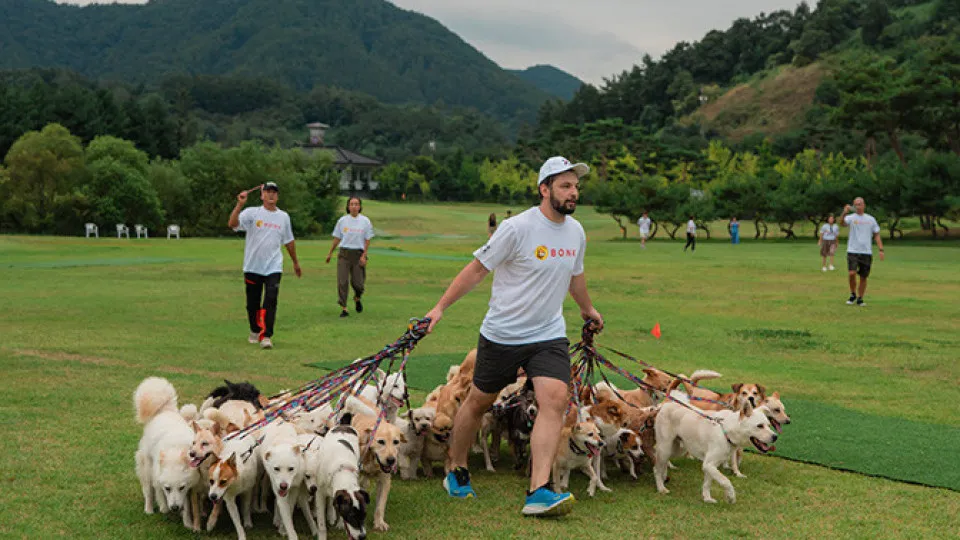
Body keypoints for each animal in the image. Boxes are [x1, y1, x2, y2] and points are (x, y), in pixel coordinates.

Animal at [134, 378, 202, 528]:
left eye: (181, 487)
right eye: (168, 488)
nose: (175, 508)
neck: (175, 451)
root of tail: (164, 410)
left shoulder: (188, 488)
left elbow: (187, 506)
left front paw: (188, 523)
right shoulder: (157, 476)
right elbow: (159, 492)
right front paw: (164, 508)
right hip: (147, 468)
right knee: (148, 491)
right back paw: (148, 509)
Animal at [652, 394, 780, 504]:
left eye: (769, 425)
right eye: (760, 426)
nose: (775, 437)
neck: (726, 431)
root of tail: (664, 405)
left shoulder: (711, 466)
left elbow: (708, 483)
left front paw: (707, 498)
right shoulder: (709, 464)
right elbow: (725, 481)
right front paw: (731, 497)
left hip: (677, 449)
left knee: (663, 464)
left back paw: (664, 477)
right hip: (665, 448)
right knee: (656, 468)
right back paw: (661, 488)